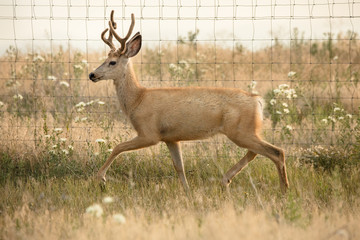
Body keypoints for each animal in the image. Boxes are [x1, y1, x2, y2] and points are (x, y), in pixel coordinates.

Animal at [89, 11, 290, 194]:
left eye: (112, 62)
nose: (92, 74)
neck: (138, 99)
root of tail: (258, 101)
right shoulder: (170, 138)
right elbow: (179, 166)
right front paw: (187, 191)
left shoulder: (149, 133)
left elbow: (117, 147)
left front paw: (101, 178)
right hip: (245, 131)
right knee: (256, 152)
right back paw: (226, 180)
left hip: (240, 130)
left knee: (276, 152)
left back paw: (284, 190)